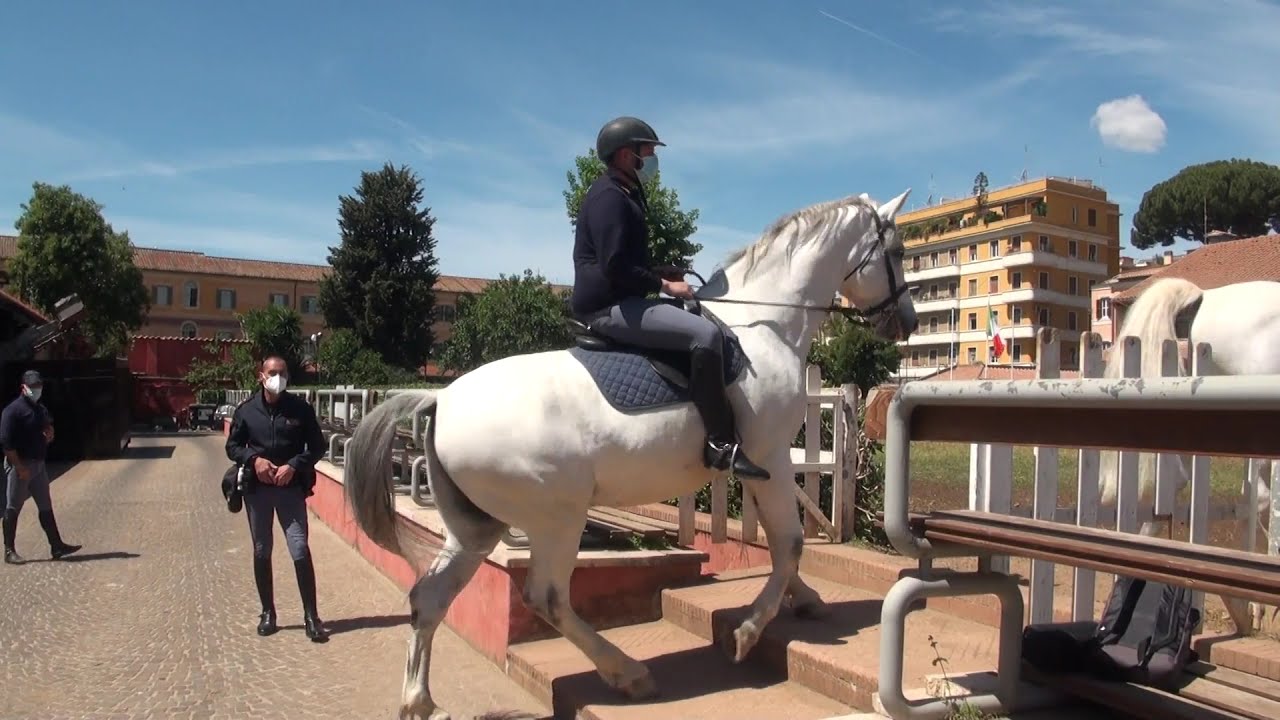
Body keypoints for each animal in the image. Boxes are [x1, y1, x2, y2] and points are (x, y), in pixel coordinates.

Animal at [342, 189, 919, 720]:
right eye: (896, 249)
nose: (908, 322)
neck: (764, 328)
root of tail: (440, 400)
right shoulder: (770, 457)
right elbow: (791, 543)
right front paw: (750, 631)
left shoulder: (760, 465)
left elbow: (780, 544)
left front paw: (806, 601)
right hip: (556, 518)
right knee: (546, 597)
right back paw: (628, 674)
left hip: (475, 527)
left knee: (430, 599)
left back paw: (420, 702)